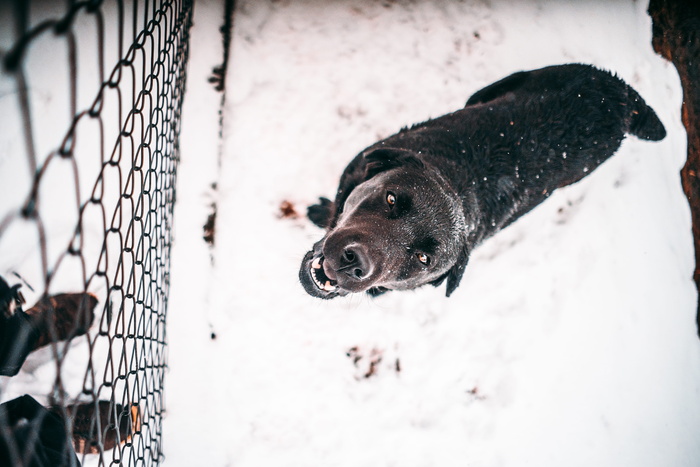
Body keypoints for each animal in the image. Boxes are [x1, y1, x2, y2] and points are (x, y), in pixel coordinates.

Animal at [296, 64, 668, 300]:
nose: (354, 262)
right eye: (391, 199)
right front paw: (321, 211)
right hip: (503, 85)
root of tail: (623, 97)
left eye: (423, 260)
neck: (460, 186)